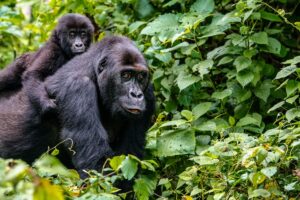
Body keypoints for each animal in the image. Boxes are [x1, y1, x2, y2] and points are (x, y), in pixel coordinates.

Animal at [0, 36, 155, 175]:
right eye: (126, 75)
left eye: (141, 77)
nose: (136, 95)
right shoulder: (78, 87)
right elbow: (96, 164)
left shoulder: (148, 93)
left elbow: (129, 157)